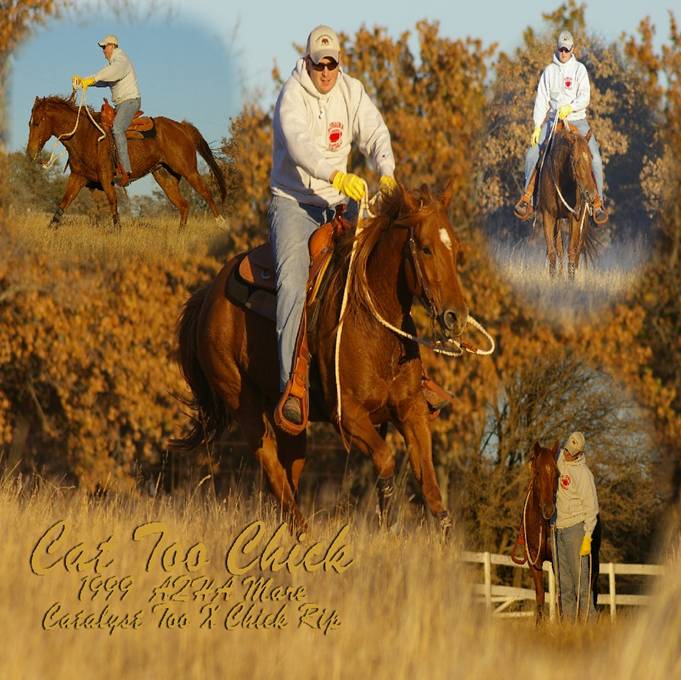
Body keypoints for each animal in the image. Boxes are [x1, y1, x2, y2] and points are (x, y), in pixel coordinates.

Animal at [26, 93, 226, 230]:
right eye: (30, 123)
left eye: (37, 122)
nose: (30, 152)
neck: (85, 135)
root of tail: (182, 127)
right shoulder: (79, 177)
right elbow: (64, 203)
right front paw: (51, 228)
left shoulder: (106, 178)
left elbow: (113, 203)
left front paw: (117, 229)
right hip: (165, 177)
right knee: (183, 205)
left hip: (189, 171)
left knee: (206, 193)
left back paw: (221, 223)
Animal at [173, 184, 490, 534]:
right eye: (425, 248)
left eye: (456, 247)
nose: (455, 317)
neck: (372, 318)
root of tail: (208, 295)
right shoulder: (348, 414)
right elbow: (385, 459)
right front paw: (388, 520)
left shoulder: (412, 410)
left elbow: (430, 485)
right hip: (244, 403)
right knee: (271, 467)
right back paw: (303, 532)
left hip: (289, 420)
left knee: (290, 470)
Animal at [536, 121, 599, 280]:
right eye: (575, 160)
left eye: (591, 157)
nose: (590, 195)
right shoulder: (548, 216)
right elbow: (552, 251)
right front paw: (554, 278)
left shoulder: (575, 217)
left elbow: (571, 251)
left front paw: (571, 280)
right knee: (558, 248)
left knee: (577, 250)